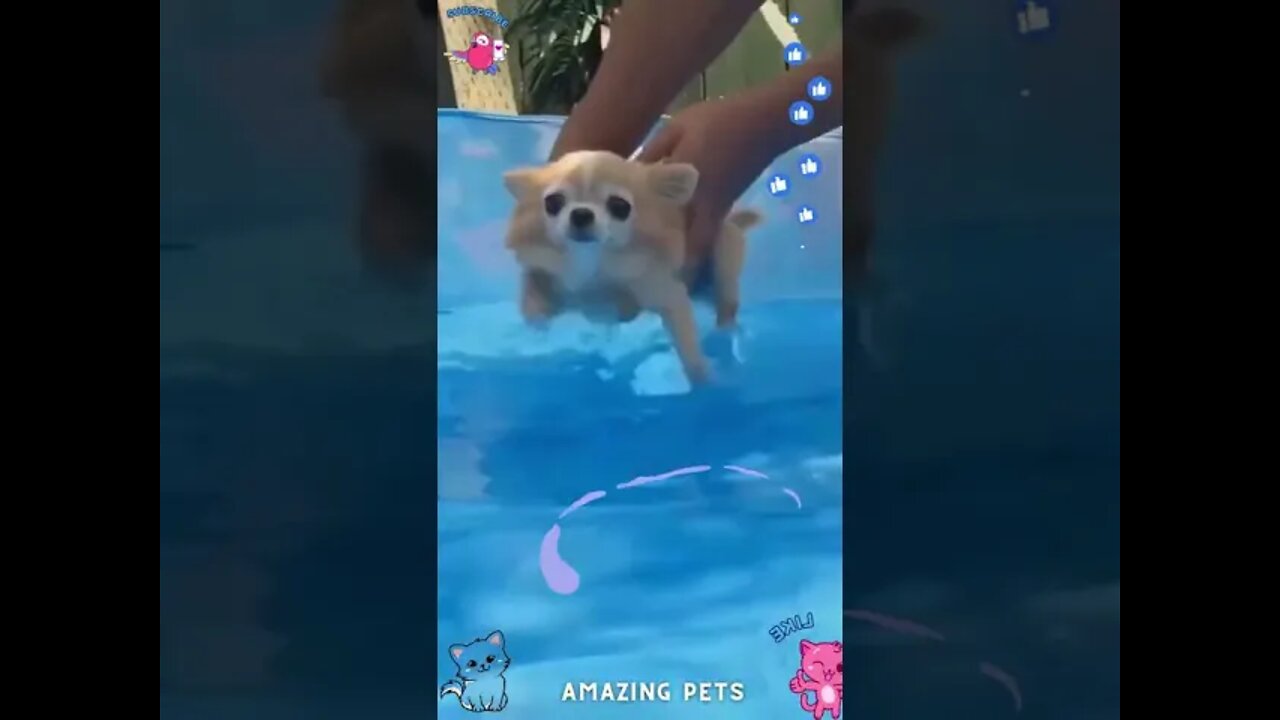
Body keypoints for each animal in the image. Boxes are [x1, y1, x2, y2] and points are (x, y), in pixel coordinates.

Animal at [499, 150, 757, 381]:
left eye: (619, 206)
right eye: (553, 202)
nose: (581, 213)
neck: (591, 262)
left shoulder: (665, 292)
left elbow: (687, 343)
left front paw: (703, 379)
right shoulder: (546, 279)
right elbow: (533, 303)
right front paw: (537, 335)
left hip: (725, 257)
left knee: (727, 304)